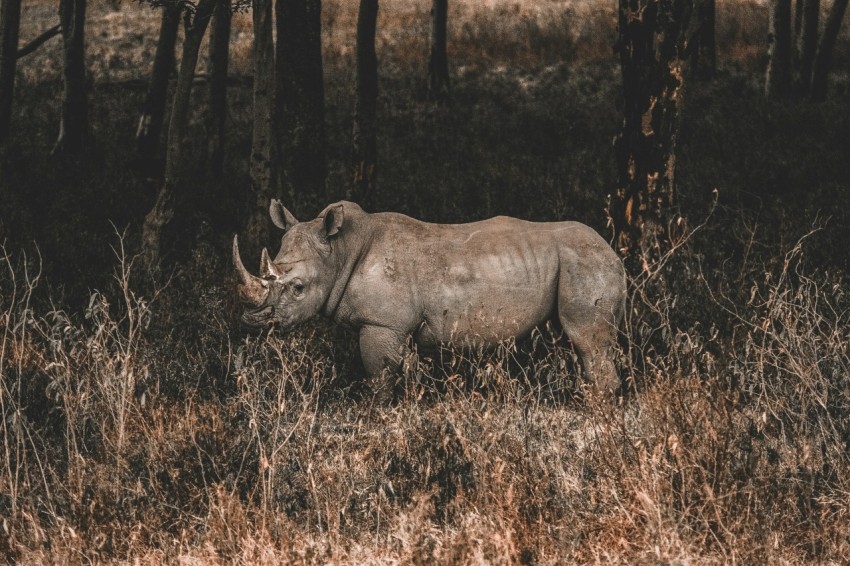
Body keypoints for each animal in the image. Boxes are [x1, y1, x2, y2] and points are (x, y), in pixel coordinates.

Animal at [233, 200, 627, 396]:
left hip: (585, 263)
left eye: (298, 288)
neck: (340, 250)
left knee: (587, 342)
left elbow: (380, 379)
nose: (252, 320)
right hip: (577, 262)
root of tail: (613, 253)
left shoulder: (383, 324)